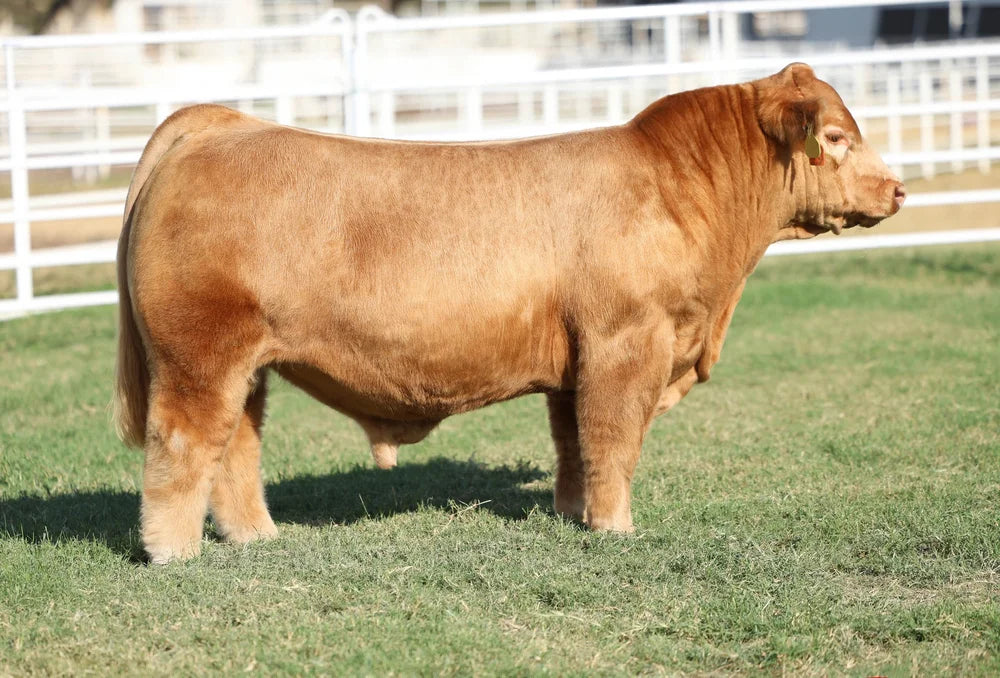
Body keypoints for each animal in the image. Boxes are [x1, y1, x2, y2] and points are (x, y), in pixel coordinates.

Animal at [112, 63, 905, 563]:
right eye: (837, 138)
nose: (898, 189)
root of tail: (217, 125)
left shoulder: (577, 360)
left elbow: (574, 445)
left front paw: (575, 515)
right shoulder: (627, 343)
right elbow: (613, 440)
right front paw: (616, 529)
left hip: (248, 366)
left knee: (235, 448)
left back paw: (257, 538)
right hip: (198, 355)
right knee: (181, 445)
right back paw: (173, 553)